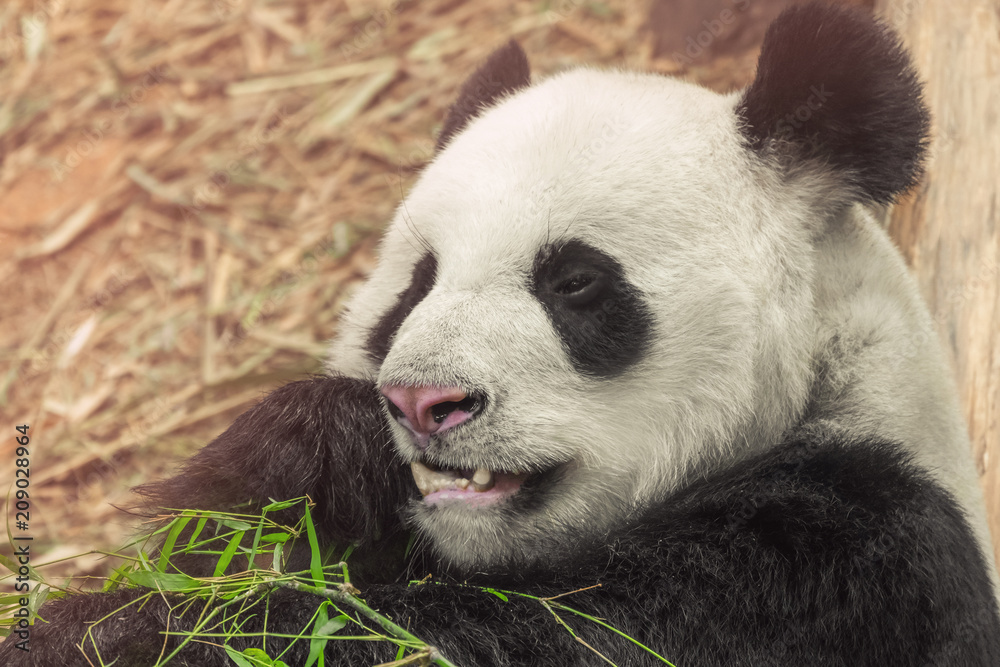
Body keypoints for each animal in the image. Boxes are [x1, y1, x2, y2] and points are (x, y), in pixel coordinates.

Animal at [6, 3, 999, 665]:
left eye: (575, 282)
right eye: (417, 282)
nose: (422, 402)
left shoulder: (828, 561)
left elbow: (505, 636)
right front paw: (324, 453)